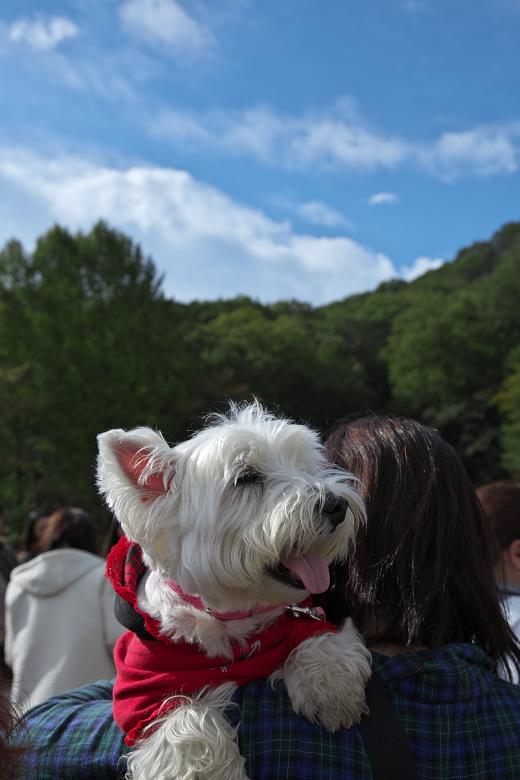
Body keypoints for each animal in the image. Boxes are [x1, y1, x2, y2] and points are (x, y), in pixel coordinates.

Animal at [97, 402, 372, 780]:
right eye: (247, 477)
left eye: (304, 466)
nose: (335, 504)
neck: (228, 615)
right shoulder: (144, 689)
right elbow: (181, 719)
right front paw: (207, 770)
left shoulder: (303, 618)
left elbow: (320, 639)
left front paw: (332, 691)